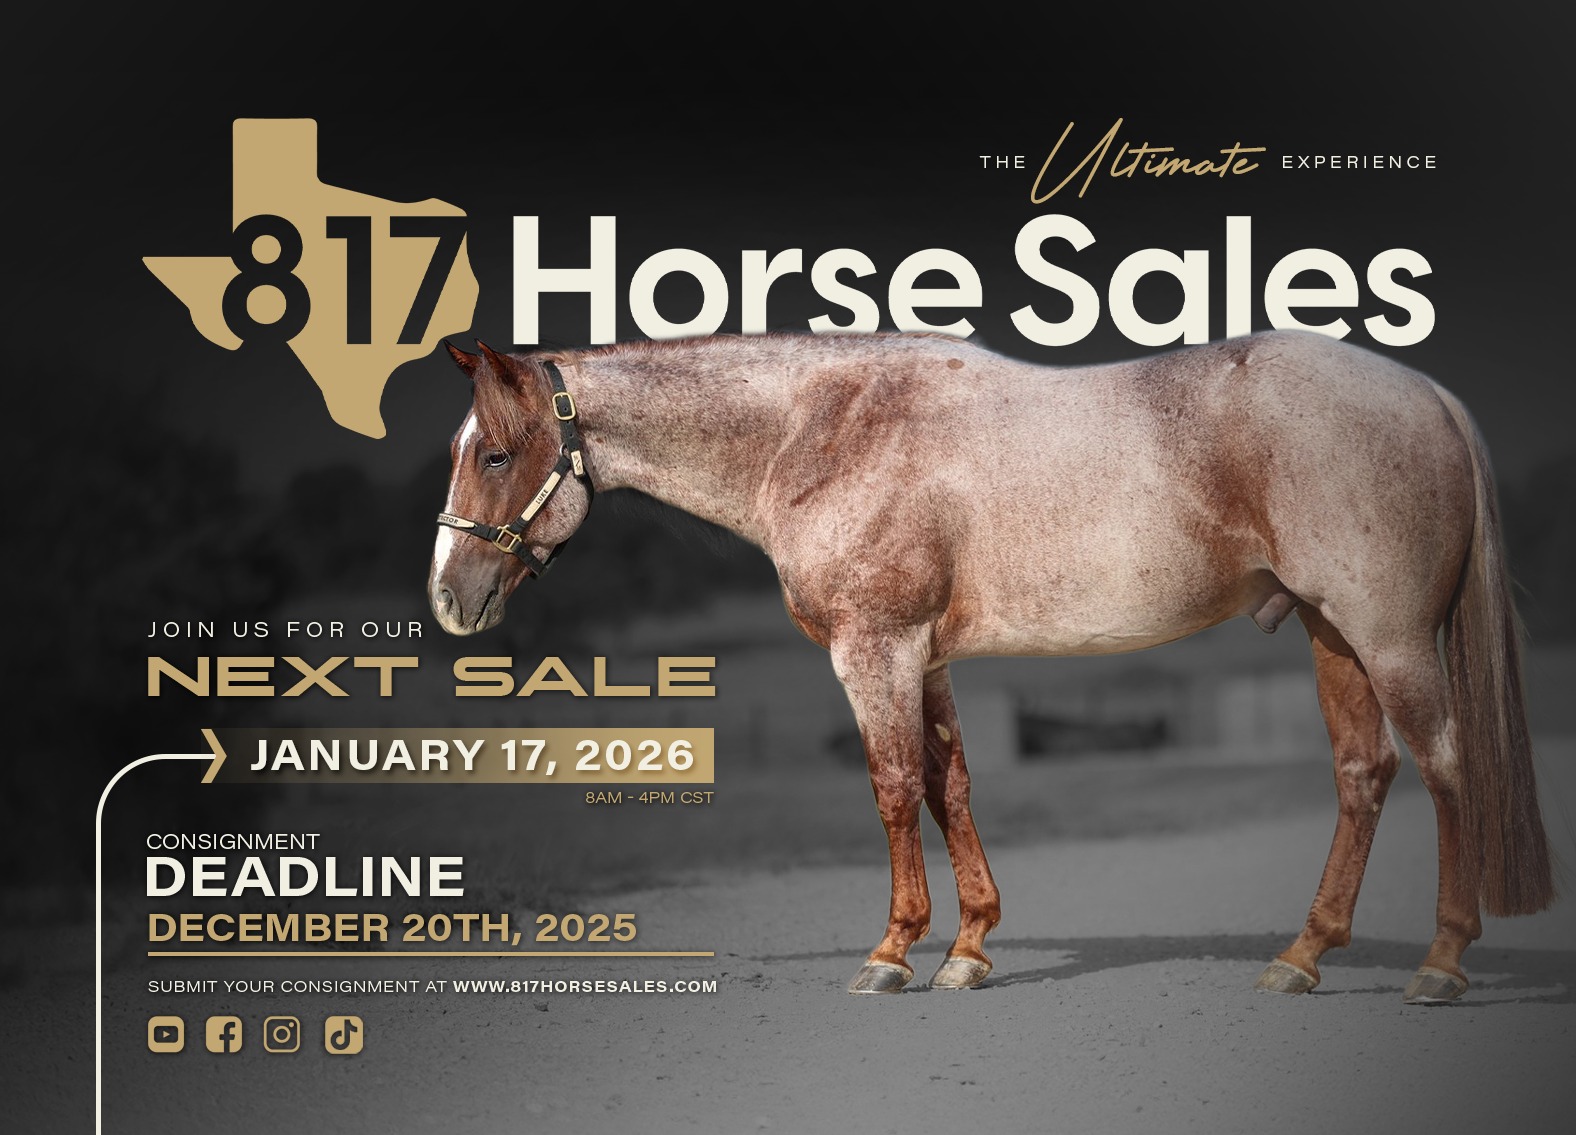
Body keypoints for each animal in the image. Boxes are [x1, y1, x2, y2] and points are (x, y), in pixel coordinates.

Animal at [427, 330, 1553, 1001]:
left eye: (494, 453)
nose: (448, 595)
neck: (823, 428)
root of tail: (1427, 393)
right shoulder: (923, 657)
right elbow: (948, 783)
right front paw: (968, 948)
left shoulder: (873, 647)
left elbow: (891, 787)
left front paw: (892, 953)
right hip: (1331, 633)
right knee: (1364, 774)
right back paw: (1301, 956)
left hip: (1388, 637)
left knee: (1446, 767)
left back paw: (1440, 963)